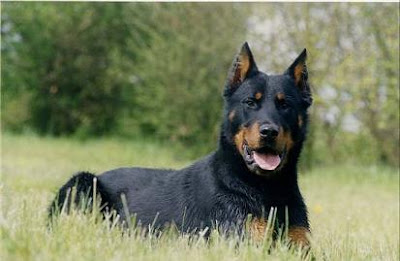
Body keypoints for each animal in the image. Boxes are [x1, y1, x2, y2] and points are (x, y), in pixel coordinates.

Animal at [49, 43, 312, 246]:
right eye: (250, 102)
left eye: (285, 104)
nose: (269, 132)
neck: (266, 188)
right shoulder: (242, 238)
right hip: (84, 182)